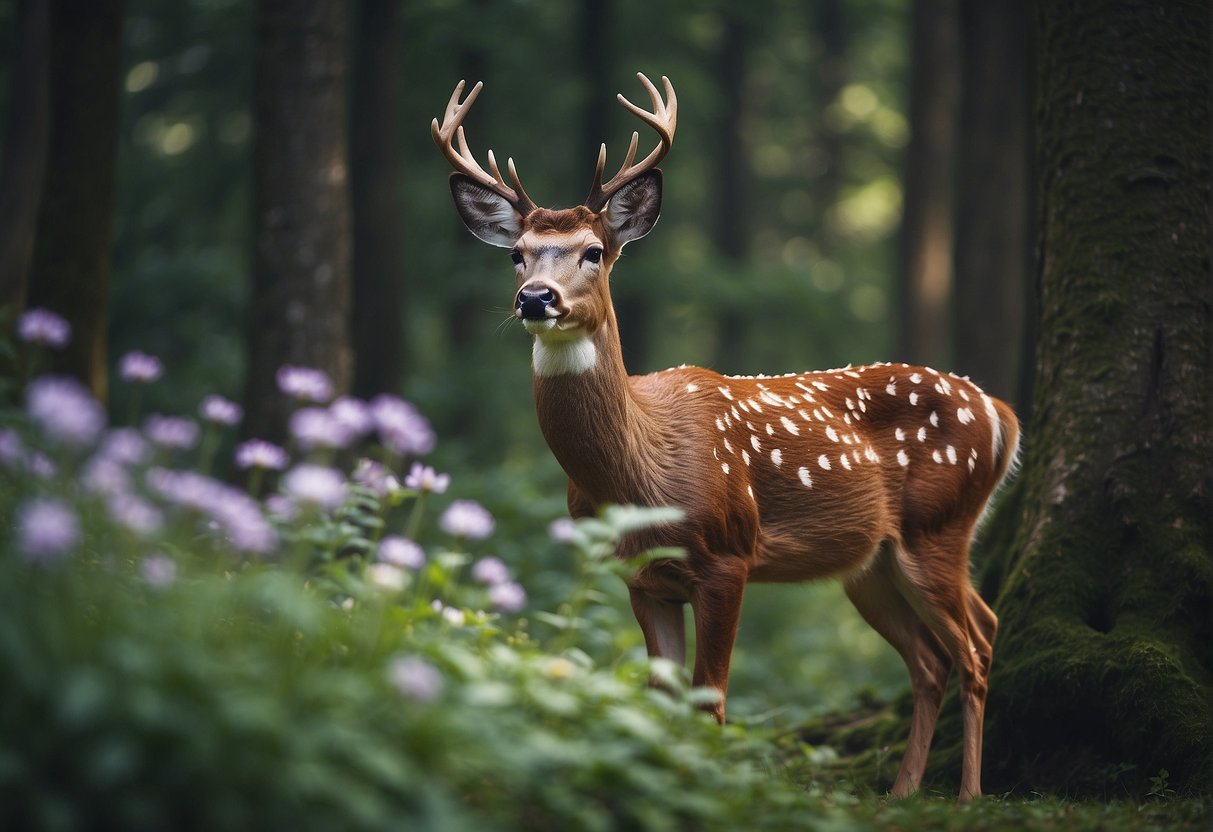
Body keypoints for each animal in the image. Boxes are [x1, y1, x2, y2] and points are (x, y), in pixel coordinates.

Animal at [432, 72, 1020, 802]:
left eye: (593, 252)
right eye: (517, 254)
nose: (536, 297)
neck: (640, 476)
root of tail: (1000, 411)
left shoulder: (729, 554)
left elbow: (709, 700)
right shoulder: (641, 576)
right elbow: (660, 699)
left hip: (937, 526)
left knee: (976, 644)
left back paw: (966, 795)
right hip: (872, 564)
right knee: (935, 655)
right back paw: (902, 791)